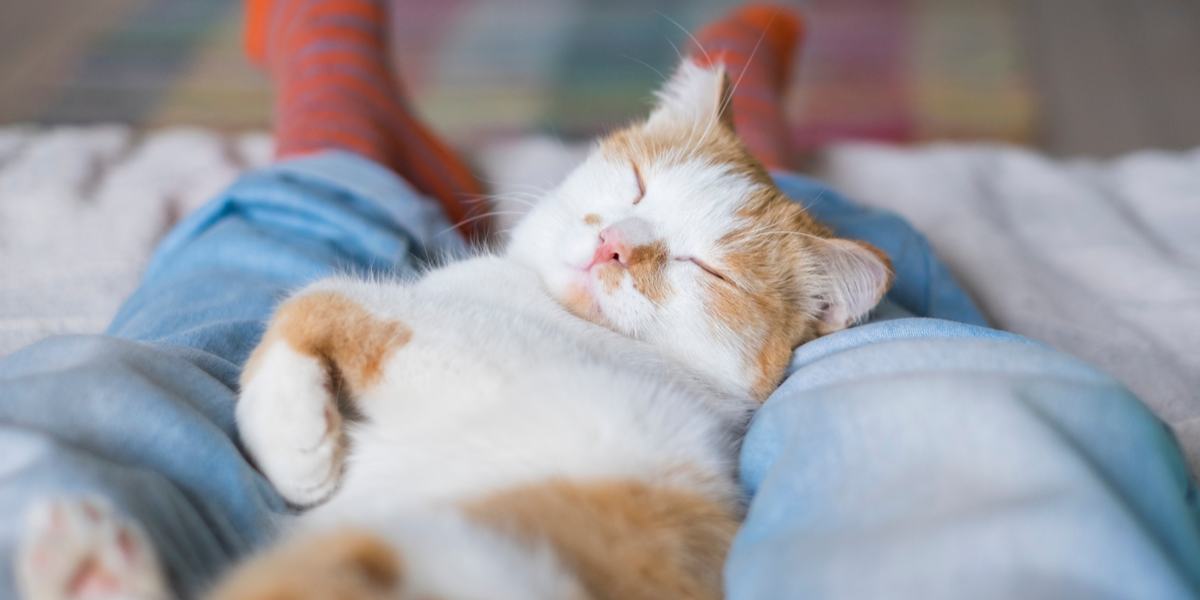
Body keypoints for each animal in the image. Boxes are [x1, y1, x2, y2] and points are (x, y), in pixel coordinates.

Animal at [11, 59, 892, 600]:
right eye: (639, 182)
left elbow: (313, 295)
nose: (617, 244)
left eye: (708, 270)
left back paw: (84, 563)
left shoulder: (446, 351)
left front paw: (294, 443)